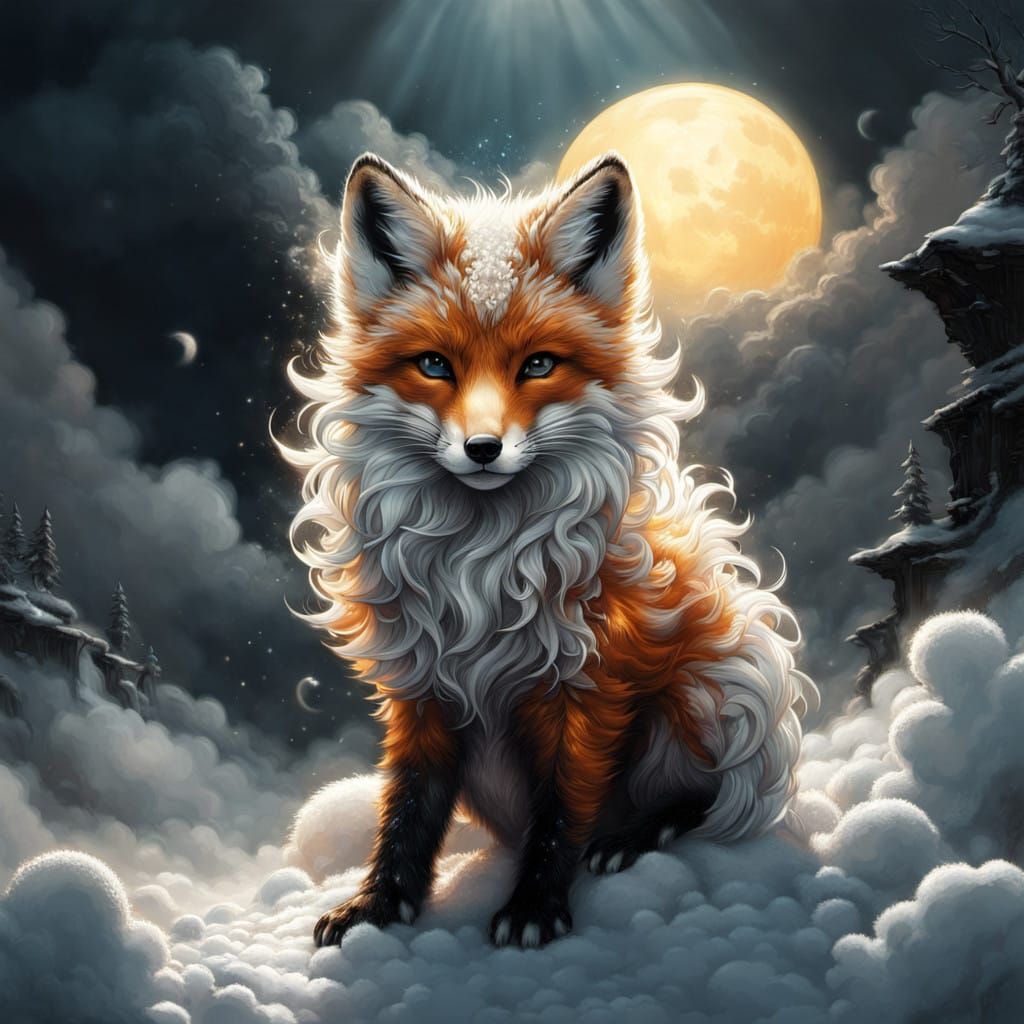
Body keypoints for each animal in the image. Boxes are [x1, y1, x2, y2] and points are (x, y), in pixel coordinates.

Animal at [285, 151, 815, 949]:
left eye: (537, 365)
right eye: (434, 365)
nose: (482, 448)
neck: (480, 568)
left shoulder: (591, 684)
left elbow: (563, 810)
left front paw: (535, 907)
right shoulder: (421, 684)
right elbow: (408, 806)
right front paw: (381, 905)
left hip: (720, 686)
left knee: (709, 799)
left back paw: (634, 836)